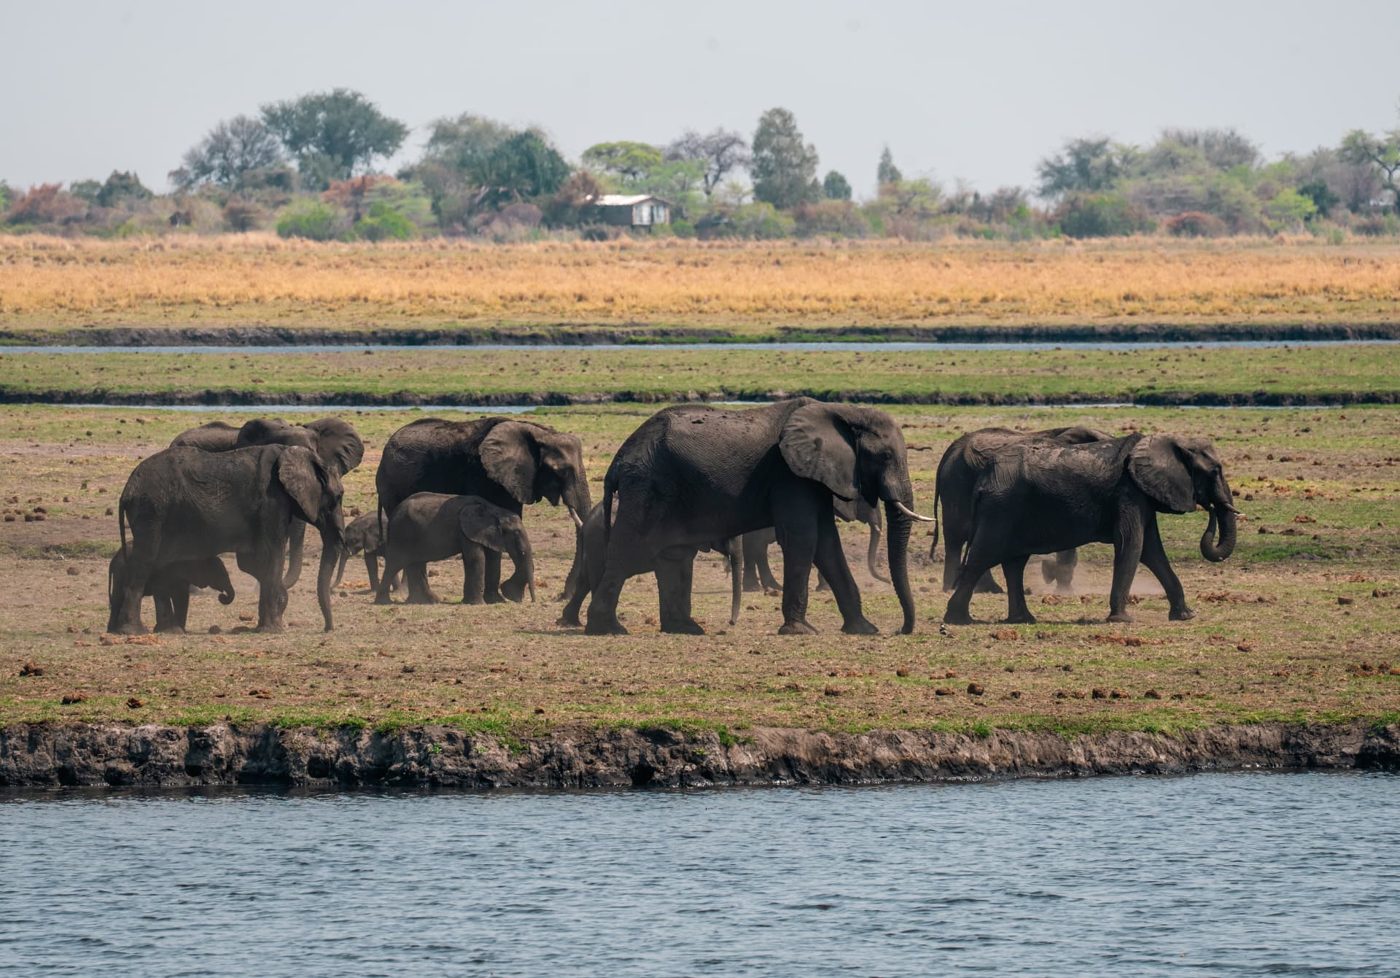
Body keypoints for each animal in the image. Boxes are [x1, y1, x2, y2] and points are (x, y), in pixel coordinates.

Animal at [107, 546, 235, 634]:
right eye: (221, 574)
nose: (222, 596)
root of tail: (113, 560)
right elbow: (171, 593)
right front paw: (173, 631)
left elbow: (181, 595)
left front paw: (181, 630)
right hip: (121, 570)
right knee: (118, 597)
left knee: (117, 599)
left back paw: (112, 631)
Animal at [375, 493, 536, 606]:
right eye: (516, 533)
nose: (532, 601)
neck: (494, 509)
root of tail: (393, 514)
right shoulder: (466, 530)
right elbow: (476, 558)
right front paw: (477, 604)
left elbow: (492, 558)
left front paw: (499, 600)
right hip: (401, 534)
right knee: (395, 564)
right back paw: (384, 602)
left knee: (416, 564)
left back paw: (427, 601)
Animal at [558, 502, 742, 630]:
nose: (731, 622)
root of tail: (586, 522)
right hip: (599, 540)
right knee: (599, 578)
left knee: (585, 580)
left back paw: (571, 622)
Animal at [932, 426, 1112, 595]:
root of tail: (951, 450)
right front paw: (1065, 590)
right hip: (958, 483)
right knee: (957, 536)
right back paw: (952, 588)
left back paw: (986, 589)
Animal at [943, 433, 1238, 626]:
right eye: (1215, 471)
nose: (1212, 509)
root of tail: (983, 479)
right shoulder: (1128, 492)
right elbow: (1132, 545)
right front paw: (1122, 620)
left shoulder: (1141, 495)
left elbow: (1152, 551)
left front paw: (1186, 616)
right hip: (1001, 509)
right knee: (982, 557)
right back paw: (959, 620)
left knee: (1014, 563)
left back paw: (1023, 620)